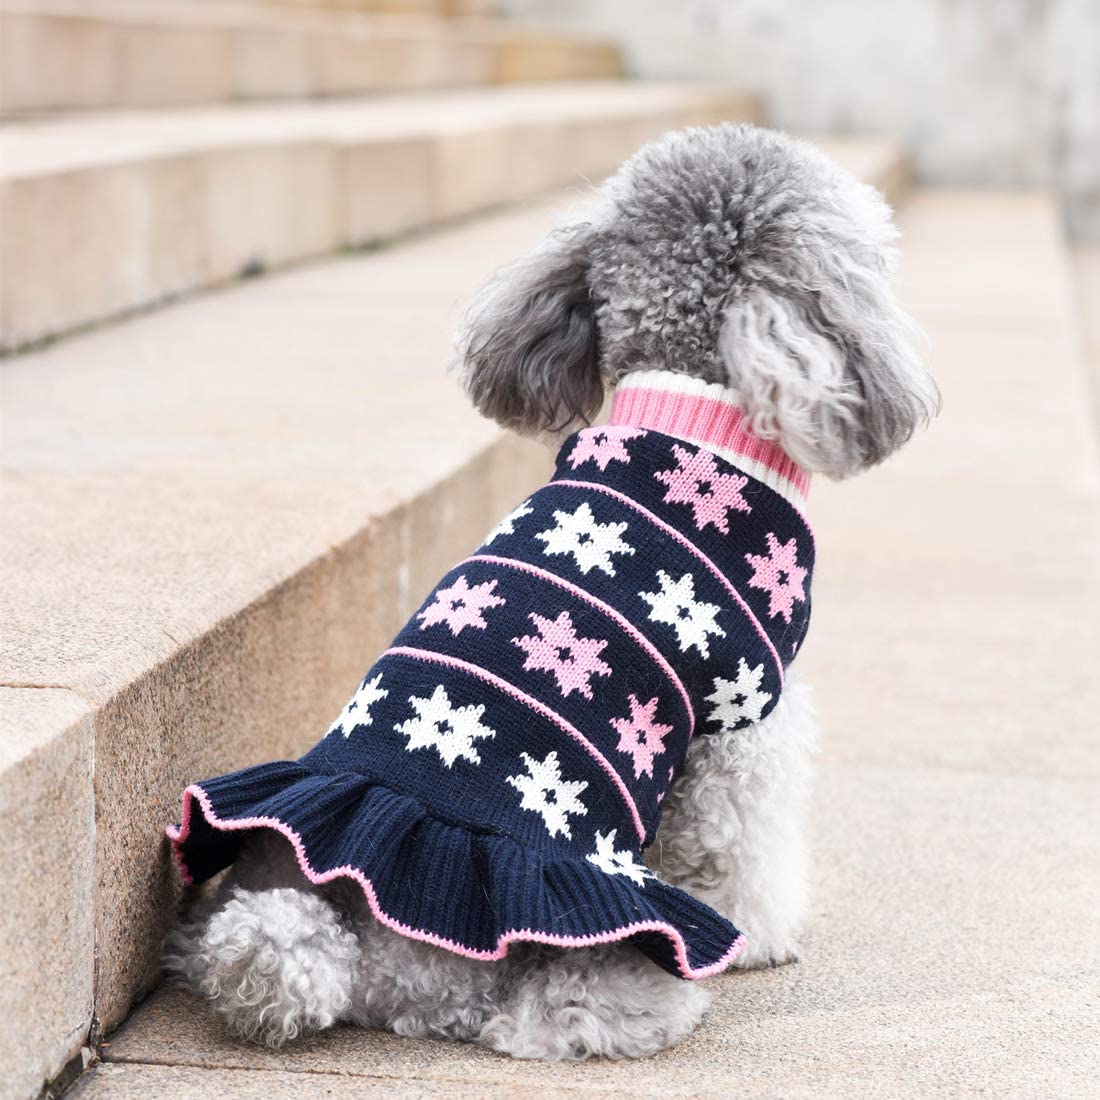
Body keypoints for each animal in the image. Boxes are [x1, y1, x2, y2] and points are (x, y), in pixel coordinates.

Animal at [162, 124, 937, 1060]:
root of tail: (355, 959)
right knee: (562, 1008)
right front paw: (763, 934)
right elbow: (743, 841)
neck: (688, 409)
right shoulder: (745, 718)